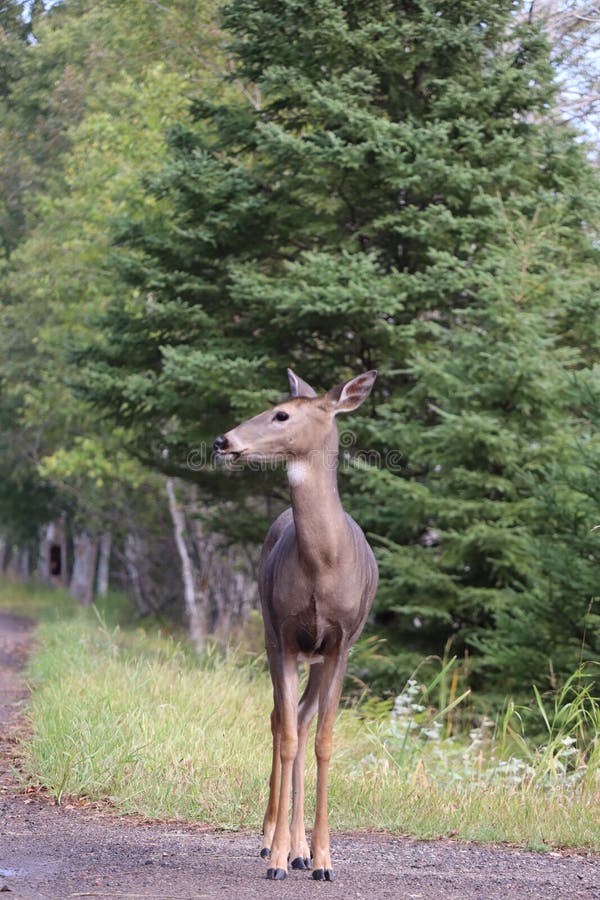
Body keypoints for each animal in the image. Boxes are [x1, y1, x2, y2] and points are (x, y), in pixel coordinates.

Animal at [213, 370, 378, 884]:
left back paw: (303, 850)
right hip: (271, 635)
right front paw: (278, 858)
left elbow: (323, 740)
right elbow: (285, 736)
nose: (223, 441)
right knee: (280, 720)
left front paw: (323, 858)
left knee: (303, 721)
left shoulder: (341, 642)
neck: (323, 564)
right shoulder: (284, 637)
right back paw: (274, 841)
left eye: (282, 414)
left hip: (319, 656)